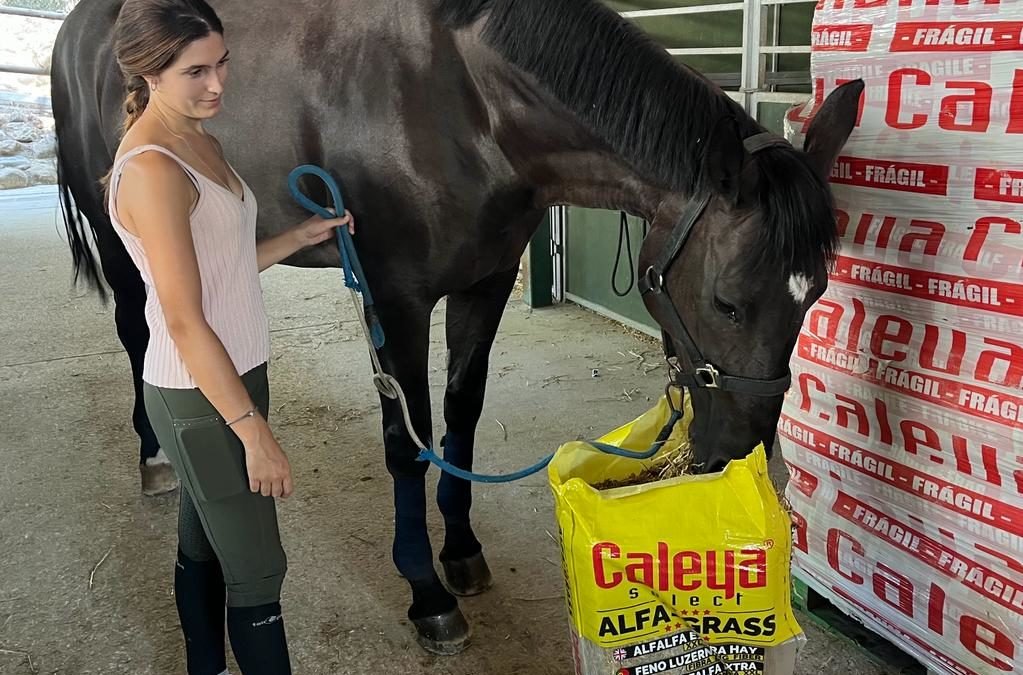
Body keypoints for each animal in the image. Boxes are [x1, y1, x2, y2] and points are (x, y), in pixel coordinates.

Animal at [51, 0, 861, 654]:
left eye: (814, 294)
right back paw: (156, 455)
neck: (461, 102)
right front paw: (427, 595)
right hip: (126, 241)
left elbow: (461, 418)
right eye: (727, 302)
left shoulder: (485, 284)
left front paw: (463, 553)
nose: (733, 453)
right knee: (139, 334)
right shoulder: (395, 300)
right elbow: (407, 445)